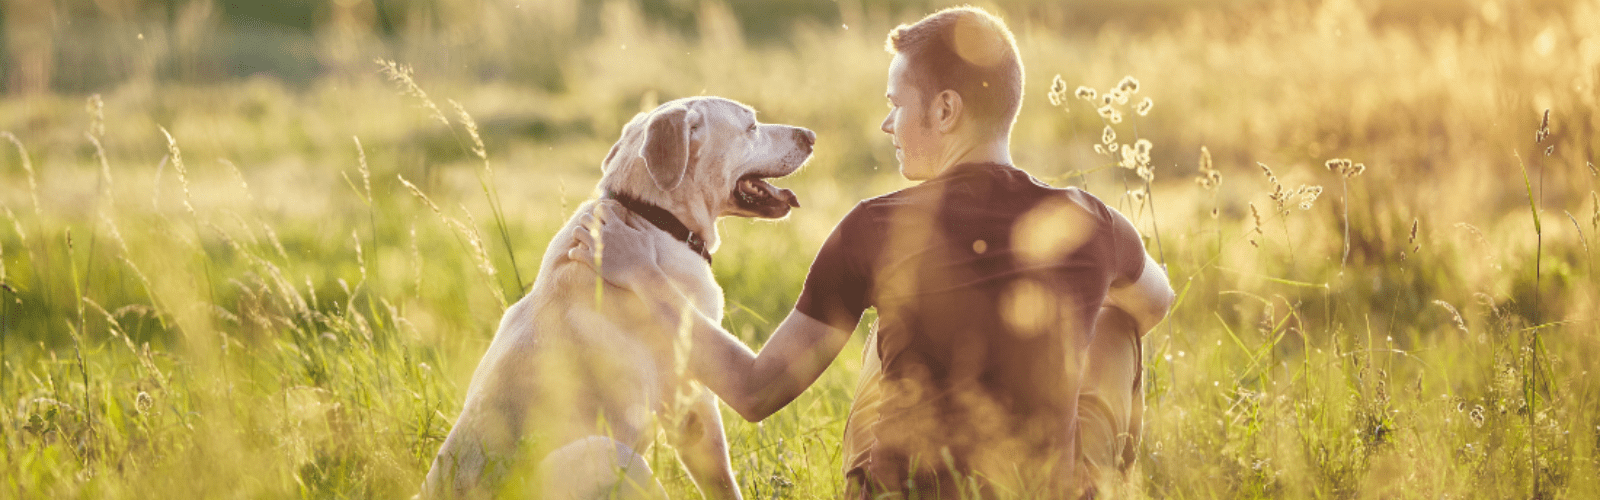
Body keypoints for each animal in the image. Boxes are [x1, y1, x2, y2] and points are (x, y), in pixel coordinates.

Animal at [425, 95, 812, 496]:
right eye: (751, 127)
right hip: (611, 453)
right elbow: (721, 481)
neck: (651, 216)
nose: (811, 136)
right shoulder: (692, 399)